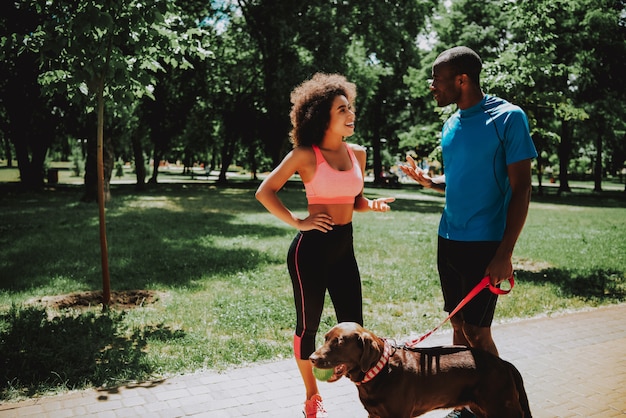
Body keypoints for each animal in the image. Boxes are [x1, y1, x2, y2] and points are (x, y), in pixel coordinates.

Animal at [310, 322, 528, 416]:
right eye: (325, 338)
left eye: (339, 342)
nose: (311, 359)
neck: (380, 372)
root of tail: (504, 363)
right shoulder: (374, 415)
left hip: (503, 407)